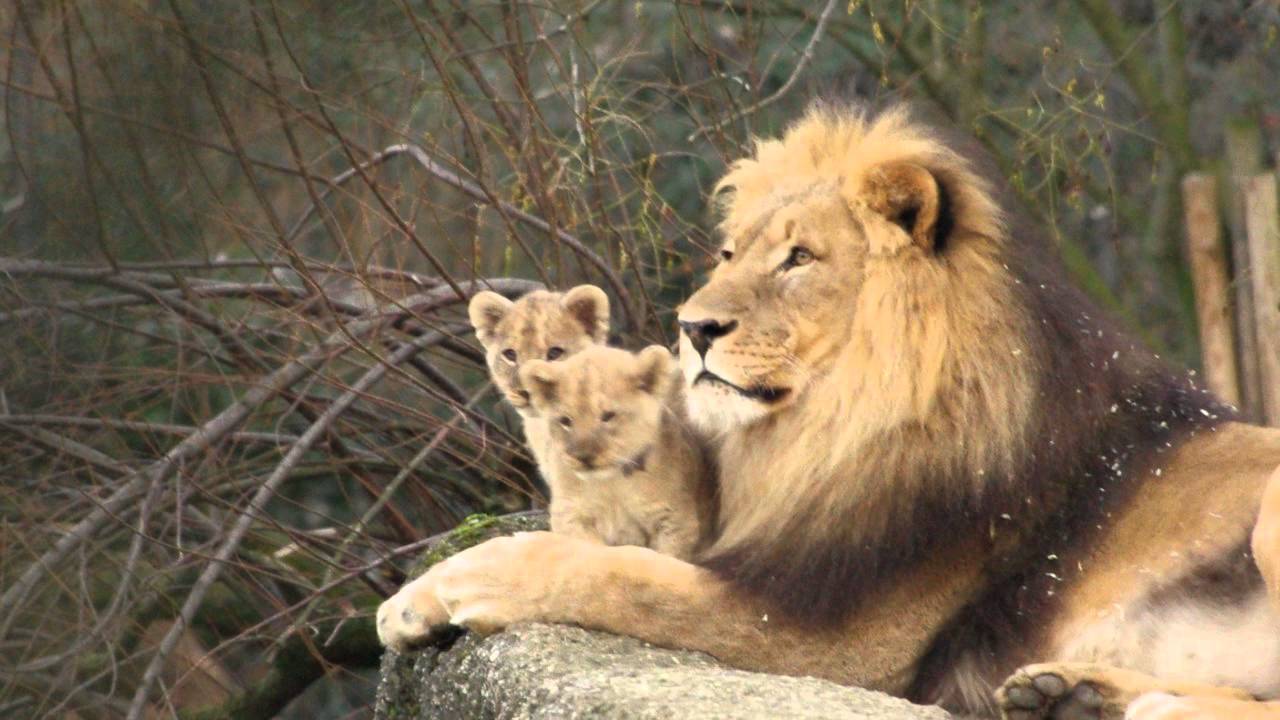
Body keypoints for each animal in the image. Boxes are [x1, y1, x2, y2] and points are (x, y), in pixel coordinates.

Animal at [519, 344, 716, 560]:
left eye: (608, 416)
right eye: (565, 421)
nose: (583, 457)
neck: (611, 483)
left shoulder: (675, 520)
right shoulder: (570, 515)